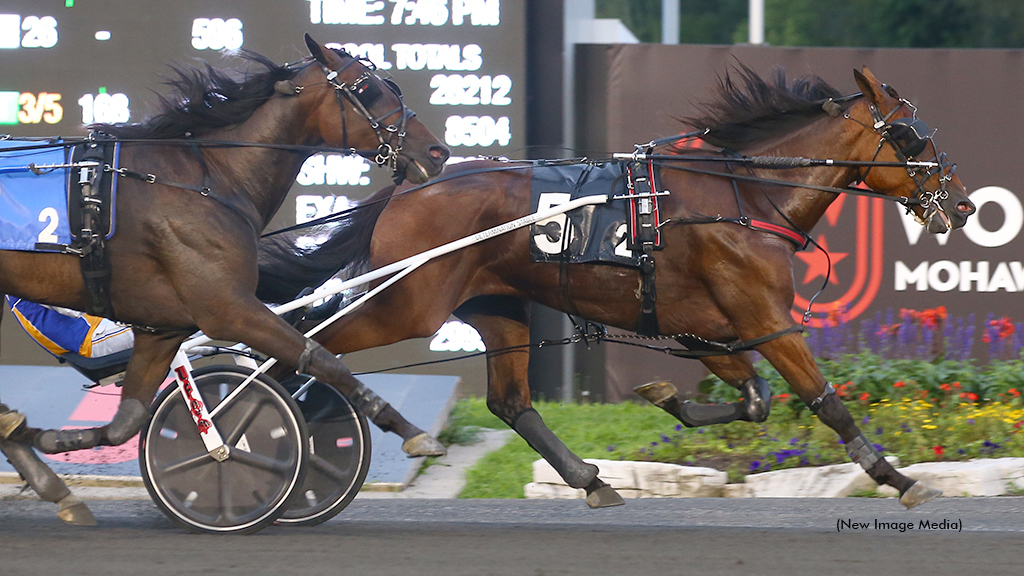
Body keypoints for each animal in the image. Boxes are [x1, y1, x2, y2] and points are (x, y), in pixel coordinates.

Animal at [0, 32, 448, 524]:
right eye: (367, 88)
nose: (436, 152)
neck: (205, 179)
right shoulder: (228, 308)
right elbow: (321, 359)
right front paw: (412, 432)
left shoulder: (162, 328)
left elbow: (127, 421)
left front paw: (47, 441)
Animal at [258, 66, 974, 506]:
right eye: (911, 135)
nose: (964, 204)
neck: (745, 198)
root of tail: (411, 186)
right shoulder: (765, 318)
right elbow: (825, 401)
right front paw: (898, 477)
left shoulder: (705, 326)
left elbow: (753, 401)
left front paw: (666, 397)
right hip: (406, 303)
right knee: (304, 341)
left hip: (497, 304)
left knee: (511, 402)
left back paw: (589, 479)